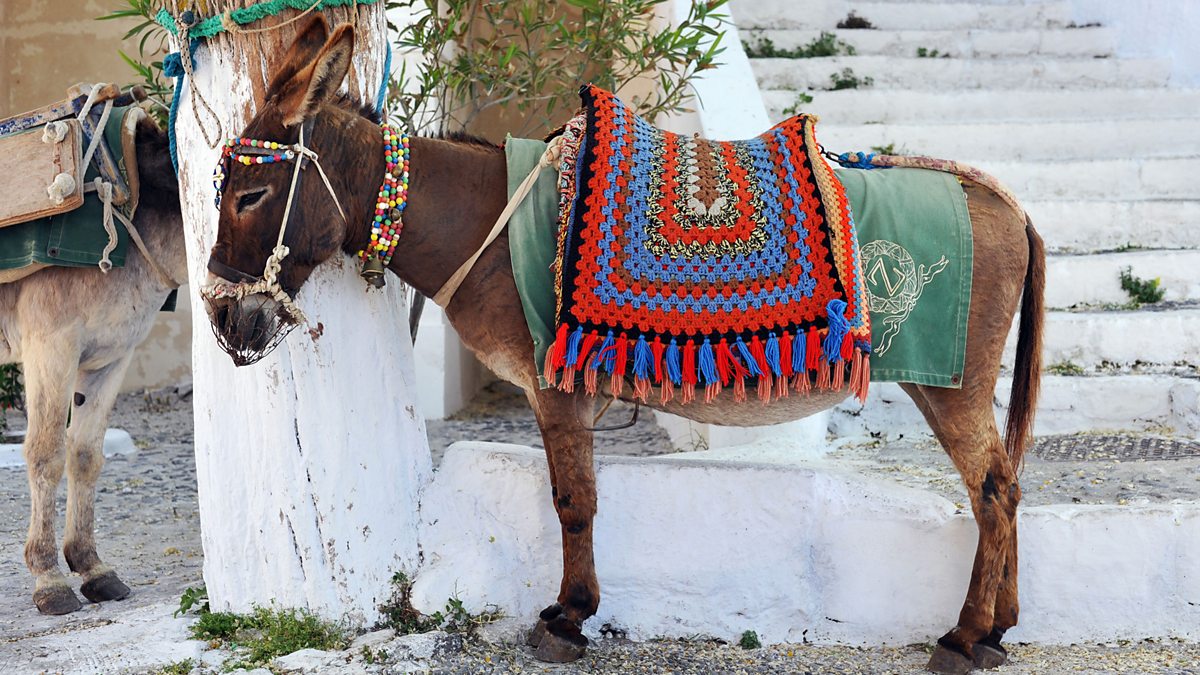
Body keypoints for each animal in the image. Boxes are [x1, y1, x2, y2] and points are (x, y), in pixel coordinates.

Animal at [1, 116, 185, 615]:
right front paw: (48, 578)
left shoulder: (112, 356)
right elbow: (45, 454)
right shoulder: (51, 346)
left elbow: (84, 455)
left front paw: (91, 567)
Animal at [203, 18, 1044, 674]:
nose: (220, 322)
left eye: (249, 196)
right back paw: (998, 629)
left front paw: (568, 617)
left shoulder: (554, 385)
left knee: (993, 488)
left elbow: (573, 499)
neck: (483, 225)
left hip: (949, 378)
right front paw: (573, 612)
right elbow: (581, 494)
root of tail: (1002, 197)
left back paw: (964, 635)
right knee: (1003, 485)